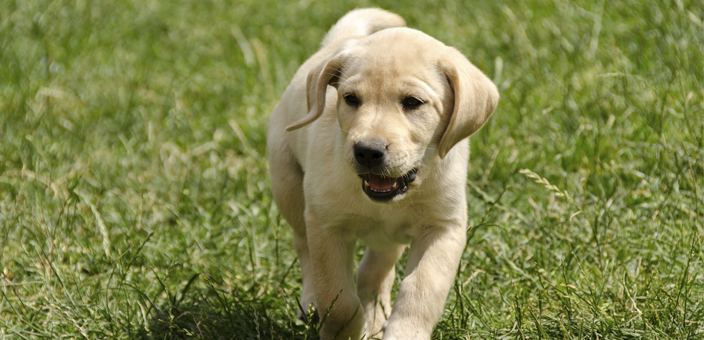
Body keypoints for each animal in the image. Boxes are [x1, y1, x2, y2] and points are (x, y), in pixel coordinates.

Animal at [266, 7, 498, 340]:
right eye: (350, 99)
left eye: (413, 102)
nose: (367, 151)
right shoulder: (326, 224)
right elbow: (337, 297)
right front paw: (346, 330)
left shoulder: (444, 227)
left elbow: (422, 288)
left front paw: (402, 331)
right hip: (289, 187)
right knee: (304, 248)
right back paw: (313, 304)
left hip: (389, 235)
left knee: (376, 267)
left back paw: (376, 314)